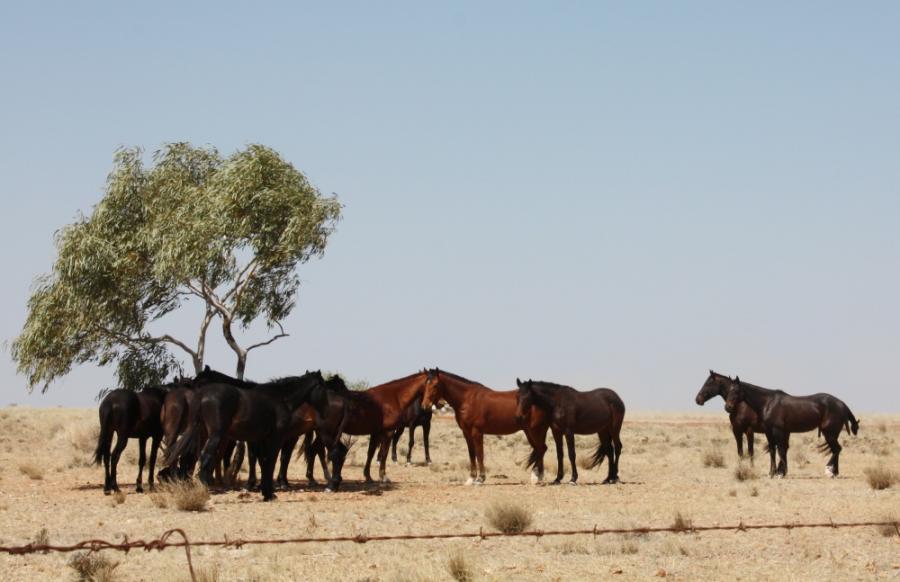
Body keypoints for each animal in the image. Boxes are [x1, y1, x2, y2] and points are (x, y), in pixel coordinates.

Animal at [163, 372, 326, 500]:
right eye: (324, 386)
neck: (281, 398)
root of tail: (202, 395)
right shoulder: (275, 439)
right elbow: (270, 462)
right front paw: (268, 493)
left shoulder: (260, 440)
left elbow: (263, 462)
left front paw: (264, 491)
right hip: (215, 435)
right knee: (204, 458)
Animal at [418, 370, 560, 488]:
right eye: (425, 384)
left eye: (435, 385)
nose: (425, 406)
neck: (467, 399)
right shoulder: (466, 433)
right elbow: (472, 454)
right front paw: (471, 479)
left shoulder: (477, 432)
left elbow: (480, 454)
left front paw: (480, 479)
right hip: (532, 431)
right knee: (540, 449)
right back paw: (538, 477)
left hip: (534, 430)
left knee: (541, 449)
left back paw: (535, 477)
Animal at [712, 374, 860, 480]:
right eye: (729, 390)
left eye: (737, 391)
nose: (728, 407)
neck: (768, 403)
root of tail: (842, 404)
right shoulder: (769, 432)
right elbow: (773, 450)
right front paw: (772, 473)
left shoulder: (778, 431)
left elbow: (781, 450)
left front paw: (779, 473)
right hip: (831, 434)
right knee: (836, 450)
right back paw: (835, 472)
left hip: (829, 433)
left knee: (837, 449)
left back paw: (829, 471)